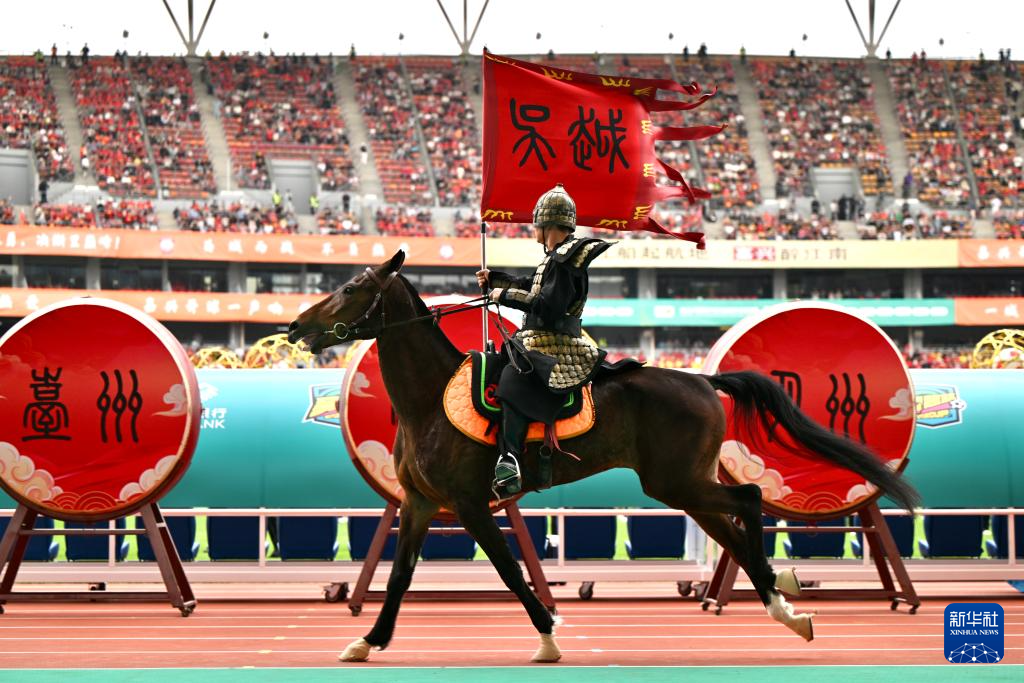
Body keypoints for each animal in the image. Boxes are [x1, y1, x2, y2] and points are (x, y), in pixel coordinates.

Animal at [288, 250, 920, 663]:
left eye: (350, 287)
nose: (295, 326)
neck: (429, 400)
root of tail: (702, 379)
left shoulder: (470, 505)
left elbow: (510, 572)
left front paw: (548, 634)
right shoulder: (420, 504)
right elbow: (398, 576)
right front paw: (368, 640)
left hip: (678, 482)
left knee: (748, 497)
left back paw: (779, 592)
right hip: (680, 485)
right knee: (734, 525)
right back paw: (781, 602)